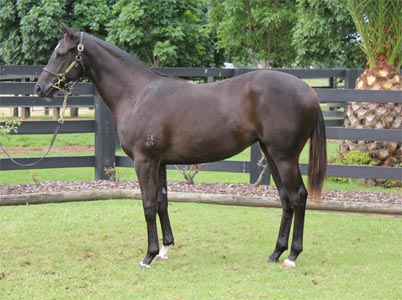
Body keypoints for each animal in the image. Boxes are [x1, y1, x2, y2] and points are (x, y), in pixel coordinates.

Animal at [36, 25, 326, 270]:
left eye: (60, 53)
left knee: (298, 196)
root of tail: (308, 91)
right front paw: (165, 249)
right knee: (285, 199)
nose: (40, 87)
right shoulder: (160, 162)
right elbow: (162, 202)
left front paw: (148, 256)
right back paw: (276, 253)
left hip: (284, 157)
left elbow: (148, 205)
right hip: (270, 154)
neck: (138, 93)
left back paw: (292, 256)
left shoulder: (144, 161)